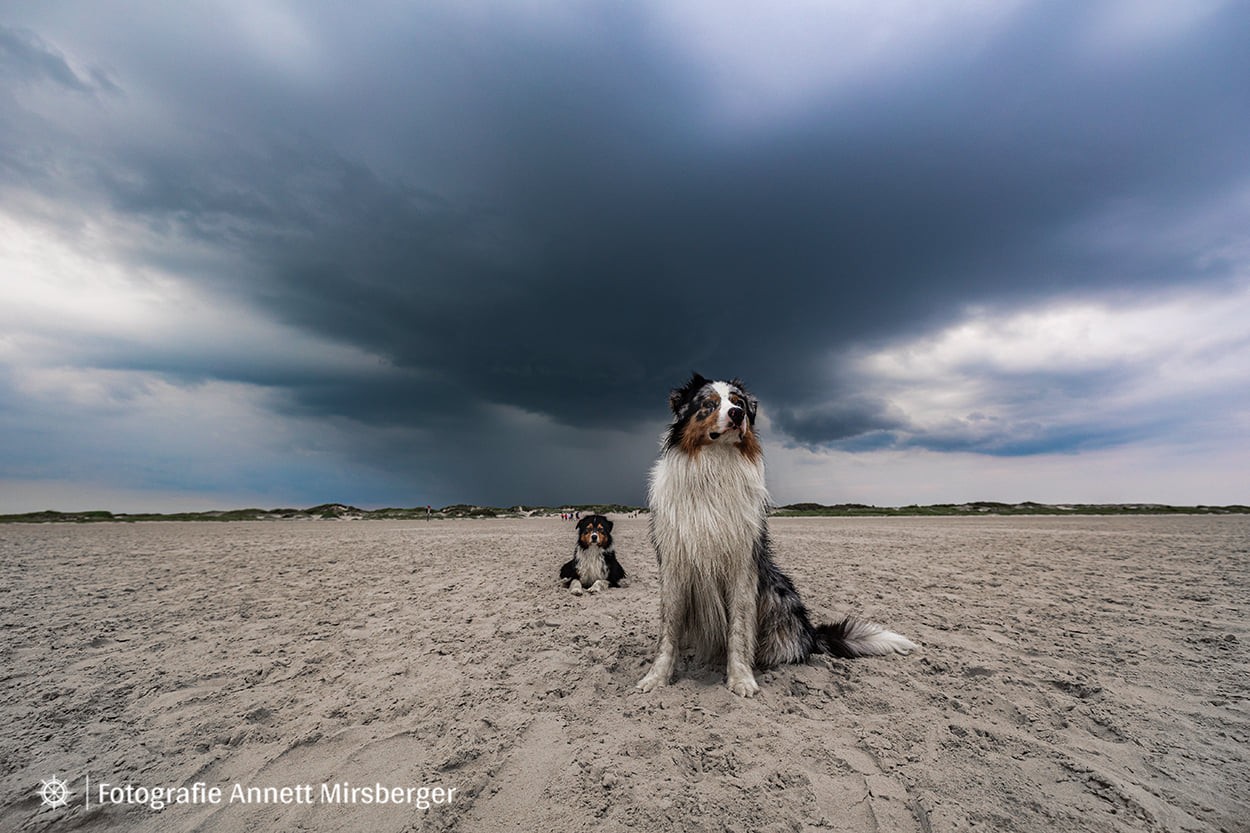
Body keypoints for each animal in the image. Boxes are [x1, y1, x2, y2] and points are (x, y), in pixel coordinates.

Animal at [635, 375, 920, 695]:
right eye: (709, 403)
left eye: (738, 402)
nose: (738, 415)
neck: (715, 464)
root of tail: (811, 634)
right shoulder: (674, 562)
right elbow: (668, 631)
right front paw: (656, 677)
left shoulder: (743, 564)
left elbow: (739, 629)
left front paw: (741, 678)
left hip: (778, 595)